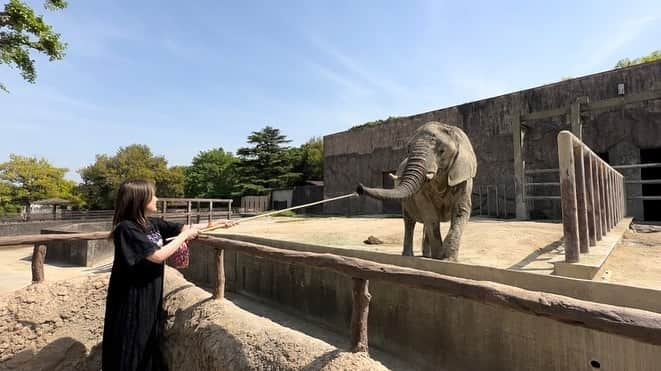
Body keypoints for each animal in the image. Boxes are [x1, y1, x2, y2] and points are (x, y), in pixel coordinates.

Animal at [356, 122, 474, 262]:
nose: (359, 188)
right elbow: (430, 215)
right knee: (409, 222)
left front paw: (447, 259)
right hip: (406, 204)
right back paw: (410, 255)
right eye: (408, 150)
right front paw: (439, 257)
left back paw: (427, 255)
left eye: (442, 151)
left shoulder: (463, 176)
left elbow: (460, 211)